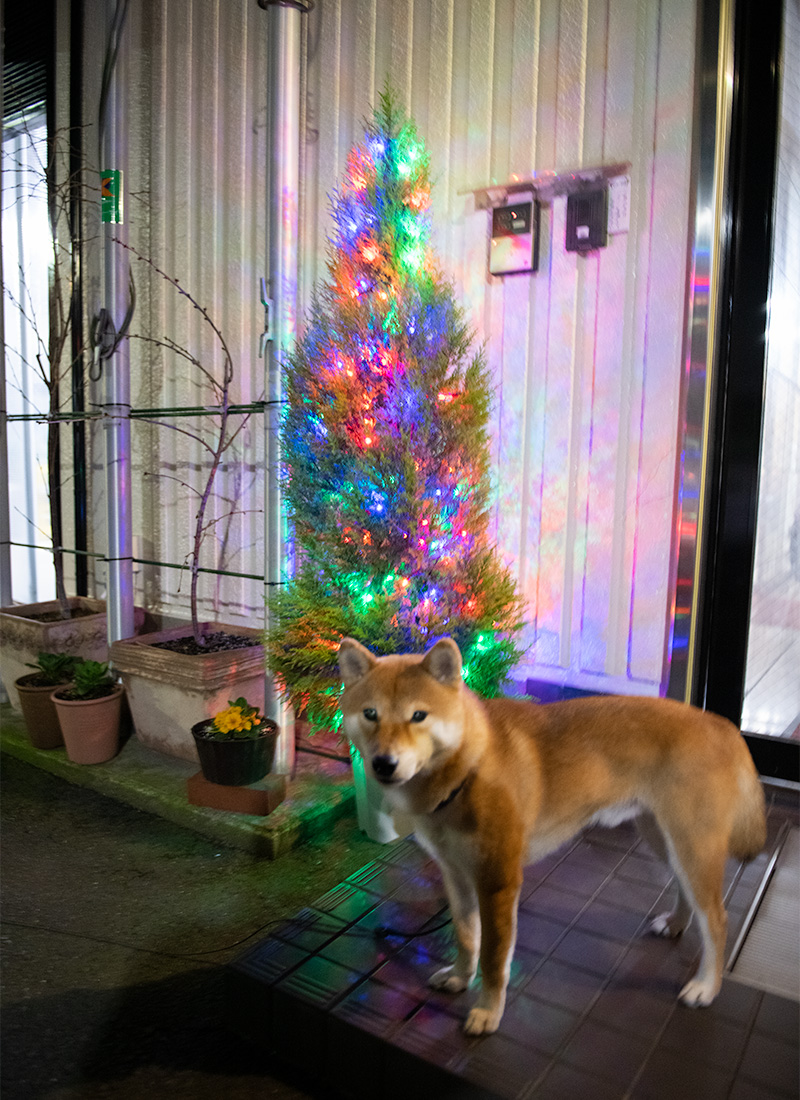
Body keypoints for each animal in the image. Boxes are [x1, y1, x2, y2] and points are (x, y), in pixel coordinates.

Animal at [338, 633, 770, 1034]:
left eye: (419, 716)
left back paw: (706, 986)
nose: (383, 763)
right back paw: (677, 924)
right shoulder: (456, 875)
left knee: (716, 919)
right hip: (665, 841)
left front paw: (487, 1012)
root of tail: (721, 723)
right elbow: (466, 937)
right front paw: (461, 978)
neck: (467, 769)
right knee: (686, 893)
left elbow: (494, 958)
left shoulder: (497, 882)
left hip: (691, 846)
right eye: (371, 714)